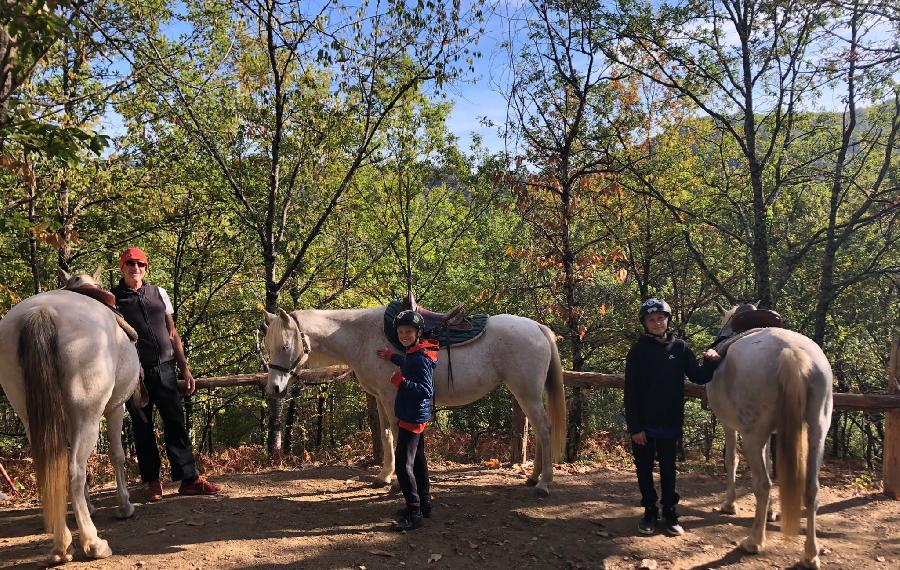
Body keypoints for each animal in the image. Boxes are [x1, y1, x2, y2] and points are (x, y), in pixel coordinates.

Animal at [0, 270, 140, 560]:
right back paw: (92, 543)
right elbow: (117, 455)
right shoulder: (115, 409)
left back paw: (61, 544)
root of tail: (41, 311)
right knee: (74, 470)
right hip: (87, 418)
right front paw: (124, 506)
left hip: (32, 419)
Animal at [260, 304, 568, 494]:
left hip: (526, 393)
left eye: (284, 346)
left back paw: (544, 483)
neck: (364, 337)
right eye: (268, 345)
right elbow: (386, 435)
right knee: (539, 431)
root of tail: (537, 328)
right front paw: (383, 477)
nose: (274, 388)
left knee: (544, 429)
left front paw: (398, 482)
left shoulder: (391, 397)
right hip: (526, 393)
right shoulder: (380, 399)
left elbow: (398, 435)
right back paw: (533, 477)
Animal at [708, 308, 832, 564]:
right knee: (812, 489)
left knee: (763, 484)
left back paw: (754, 542)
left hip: (752, 437)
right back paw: (810, 554)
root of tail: (791, 352)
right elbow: (768, 460)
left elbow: (731, 460)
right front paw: (771, 512)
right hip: (817, 431)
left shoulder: (730, 425)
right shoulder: (767, 434)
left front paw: (729, 504)